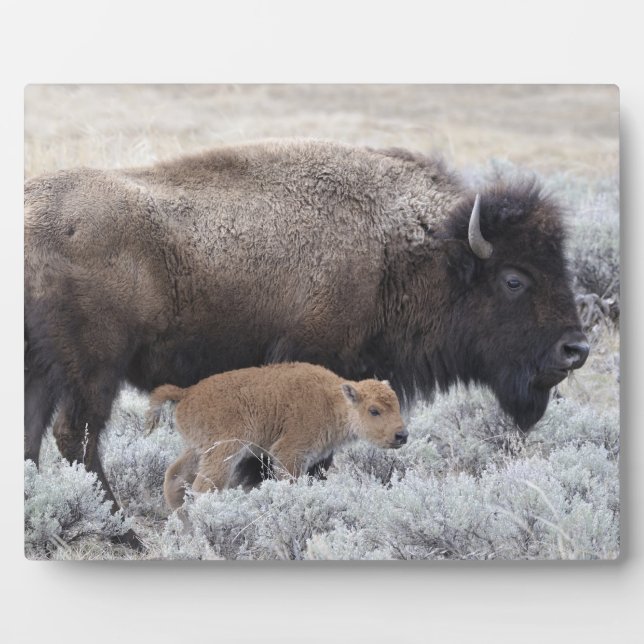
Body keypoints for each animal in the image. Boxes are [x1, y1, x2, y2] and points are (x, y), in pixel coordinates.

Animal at [24, 139, 589, 547]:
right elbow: (304, 461)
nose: (576, 350)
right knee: (76, 437)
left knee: (34, 435)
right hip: (94, 371)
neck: (399, 250)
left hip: (41, 371)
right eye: (514, 280)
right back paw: (124, 536)